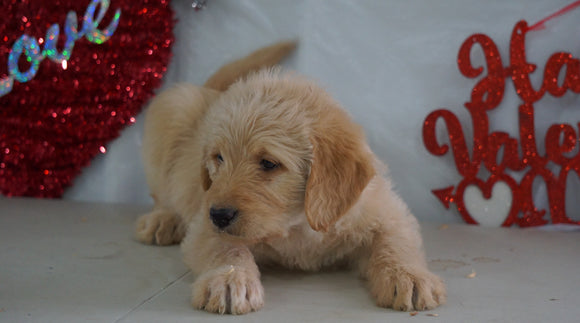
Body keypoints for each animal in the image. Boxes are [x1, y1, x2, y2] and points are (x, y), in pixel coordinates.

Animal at [135, 41, 444, 316]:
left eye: (269, 164)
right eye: (218, 158)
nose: (219, 214)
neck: (297, 223)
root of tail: (212, 91)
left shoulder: (386, 212)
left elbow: (395, 242)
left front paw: (408, 276)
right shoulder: (204, 223)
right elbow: (225, 246)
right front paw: (229, 278)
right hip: (173, 107)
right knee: (162, 194)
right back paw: (163, 219)